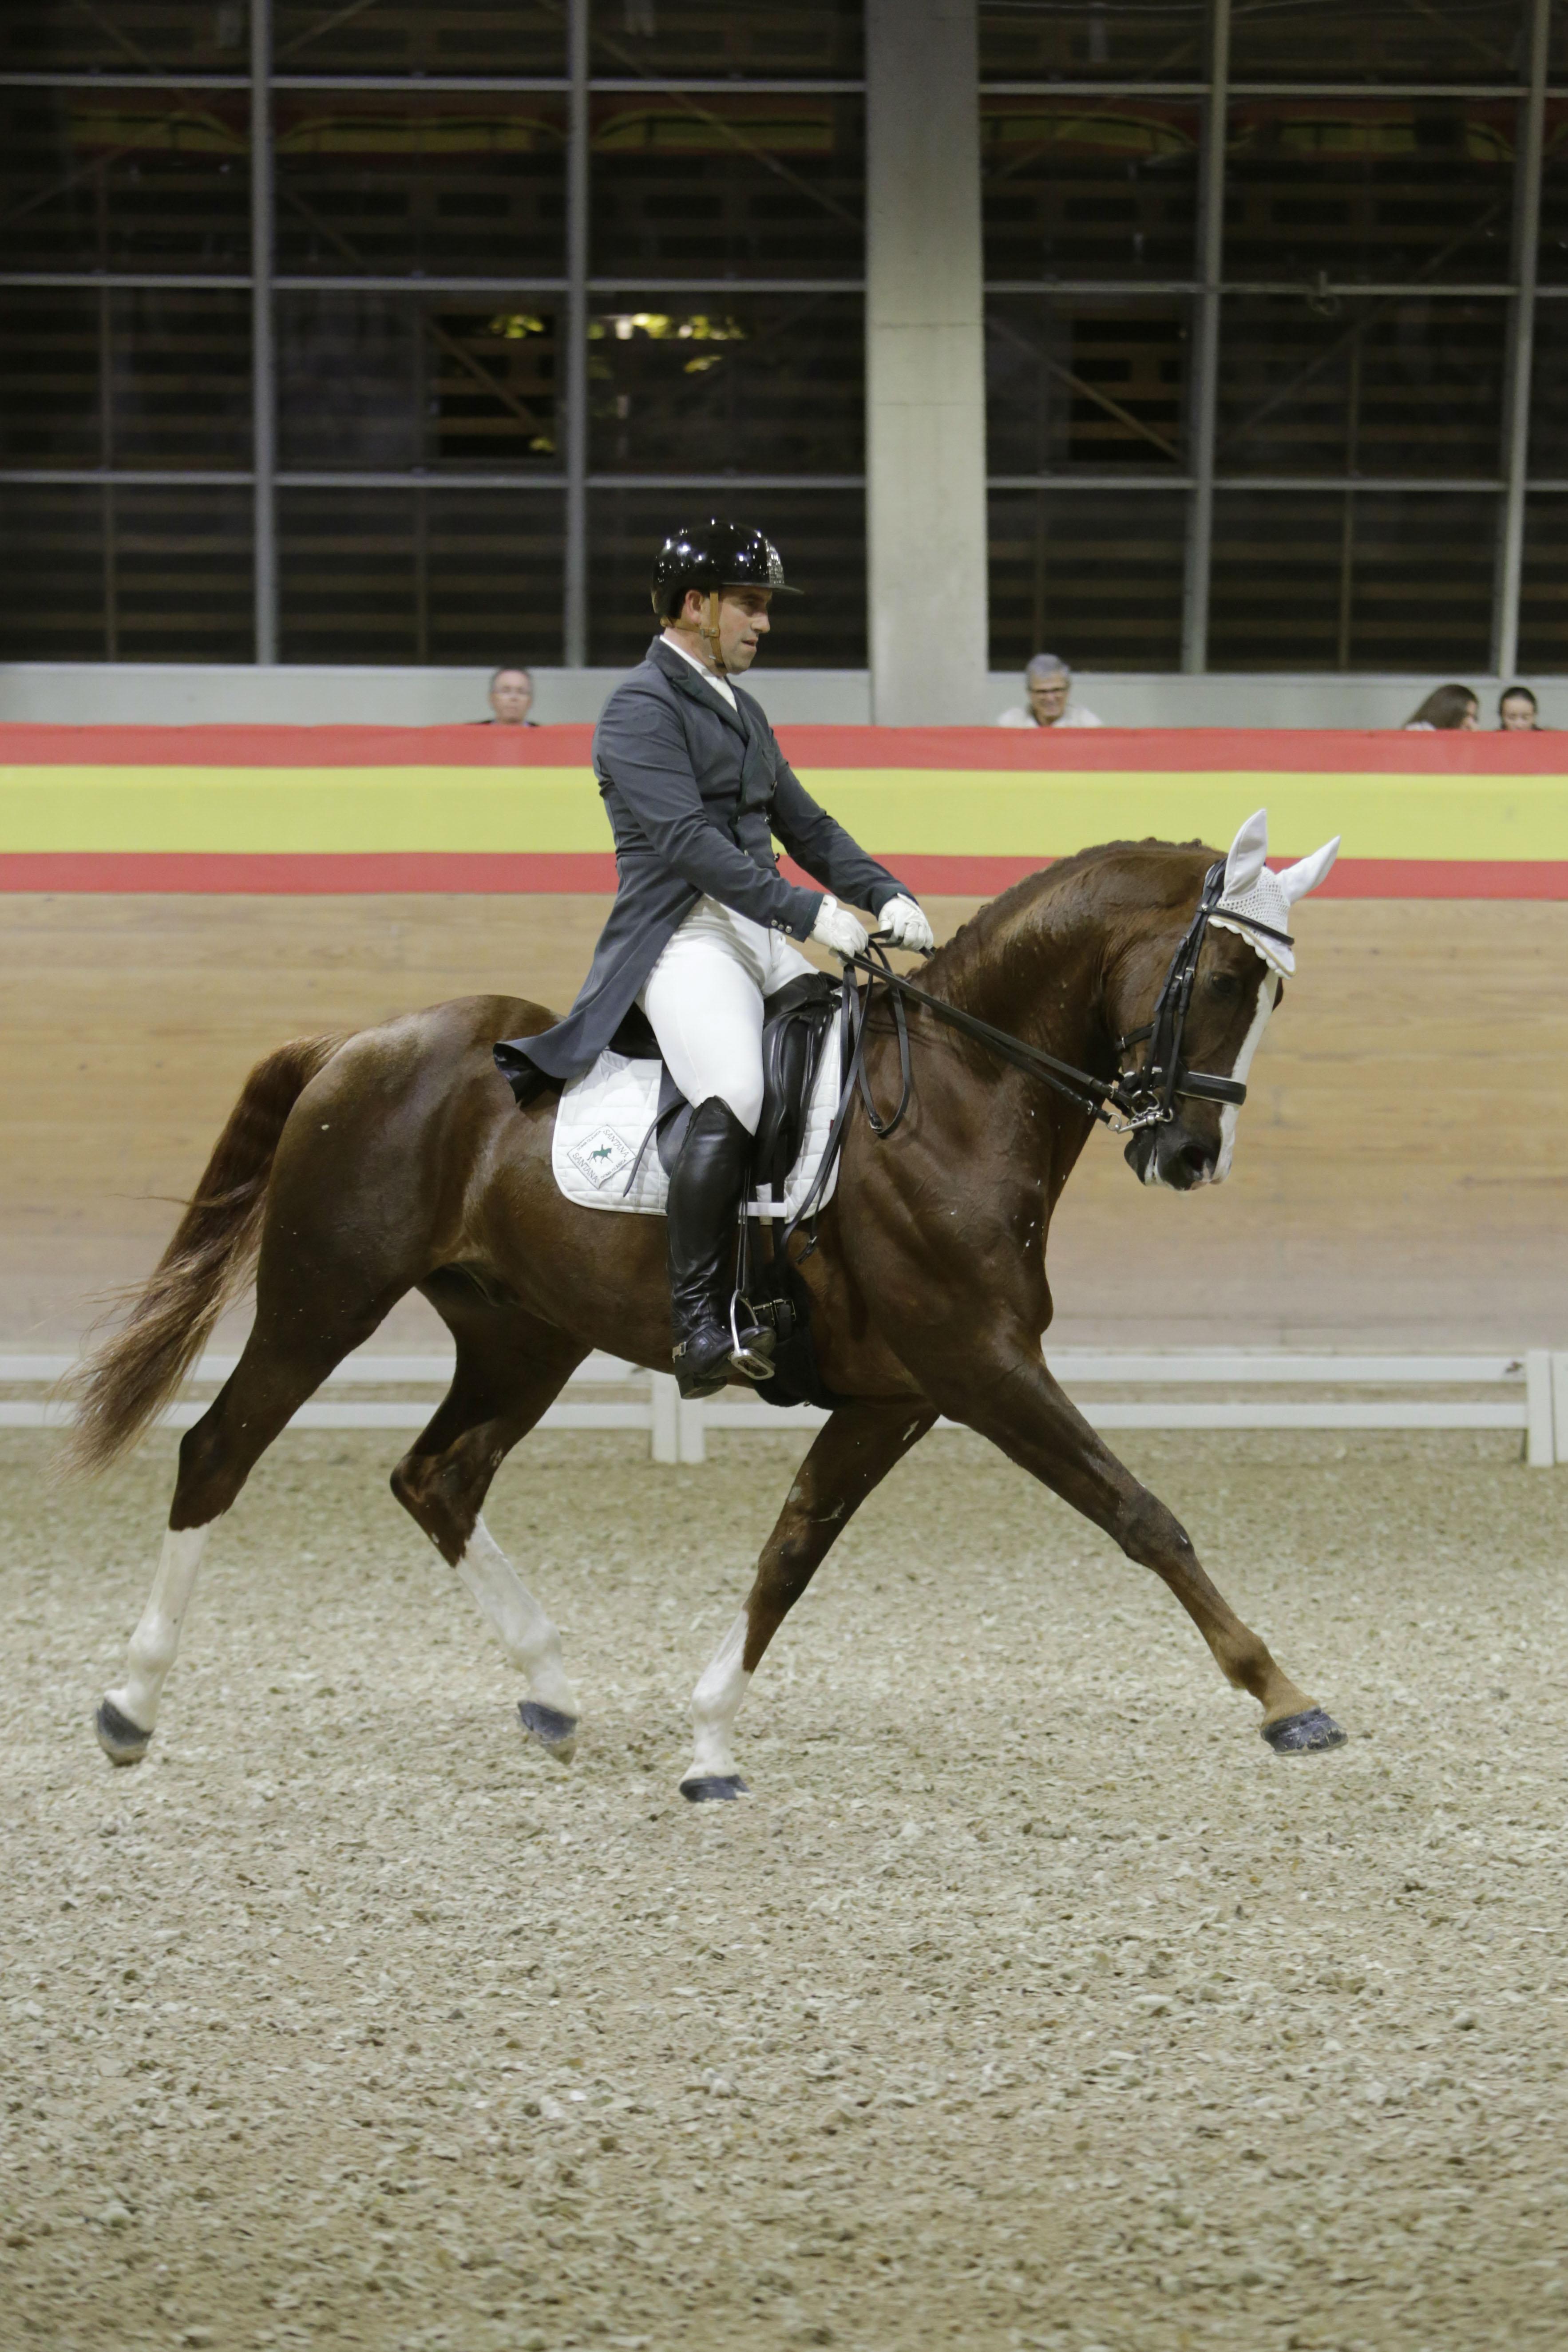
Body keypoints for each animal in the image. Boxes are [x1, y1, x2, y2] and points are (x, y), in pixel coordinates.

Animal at [76, 837, 1354, 1787]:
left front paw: (707, 1737)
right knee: (220, 1449)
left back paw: (551, 1692)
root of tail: (355, 1042)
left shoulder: (898, 1395)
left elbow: (790, 1549)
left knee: (438, 1475)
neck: (958, 1095)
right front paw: (1283, 1696)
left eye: (1271, 991)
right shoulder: (981, 1366)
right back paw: (130, 1703)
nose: (1188, 1156)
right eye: (1226, 981)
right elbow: (1140, 1514)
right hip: (324, 1295)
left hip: (521, 1334)